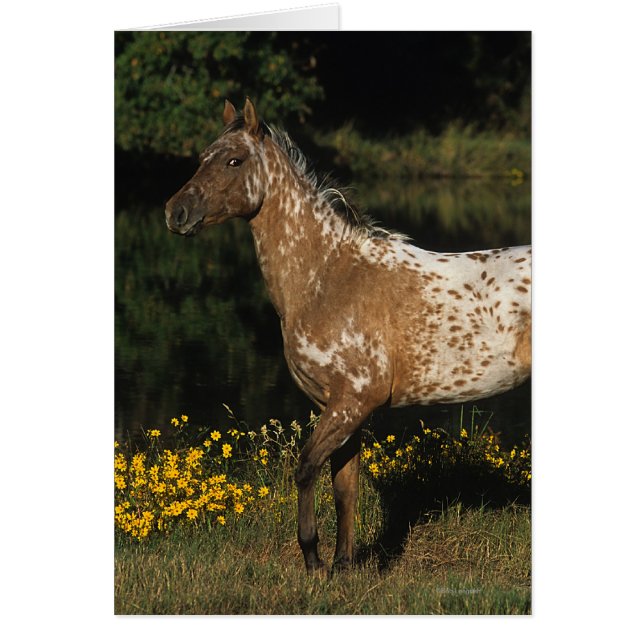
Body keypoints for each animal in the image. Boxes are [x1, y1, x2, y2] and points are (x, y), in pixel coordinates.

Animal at [165, 98, 531, 573]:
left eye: (235, 160)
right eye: (201, 158)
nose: (175, 213)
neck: (328, 275)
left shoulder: (353, 401)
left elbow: (306, 468)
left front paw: (313, 559)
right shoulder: (341, 406)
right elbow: (345, 486)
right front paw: (342, 564)